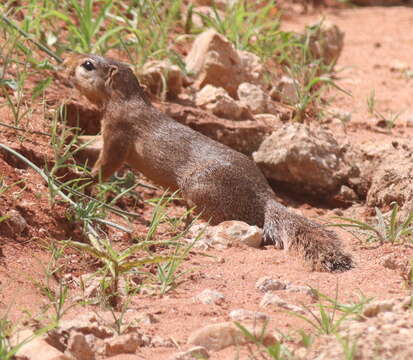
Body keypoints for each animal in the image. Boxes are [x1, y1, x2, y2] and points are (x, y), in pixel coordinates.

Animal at [62, 53, 352, 272]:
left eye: (87, 64)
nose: (65, 62)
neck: (125, 100)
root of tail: (266, 197)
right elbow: (92, 145)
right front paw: (71, 144)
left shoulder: (118, 135)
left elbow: (106, 165)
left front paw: (81, 176)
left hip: (198, 187)